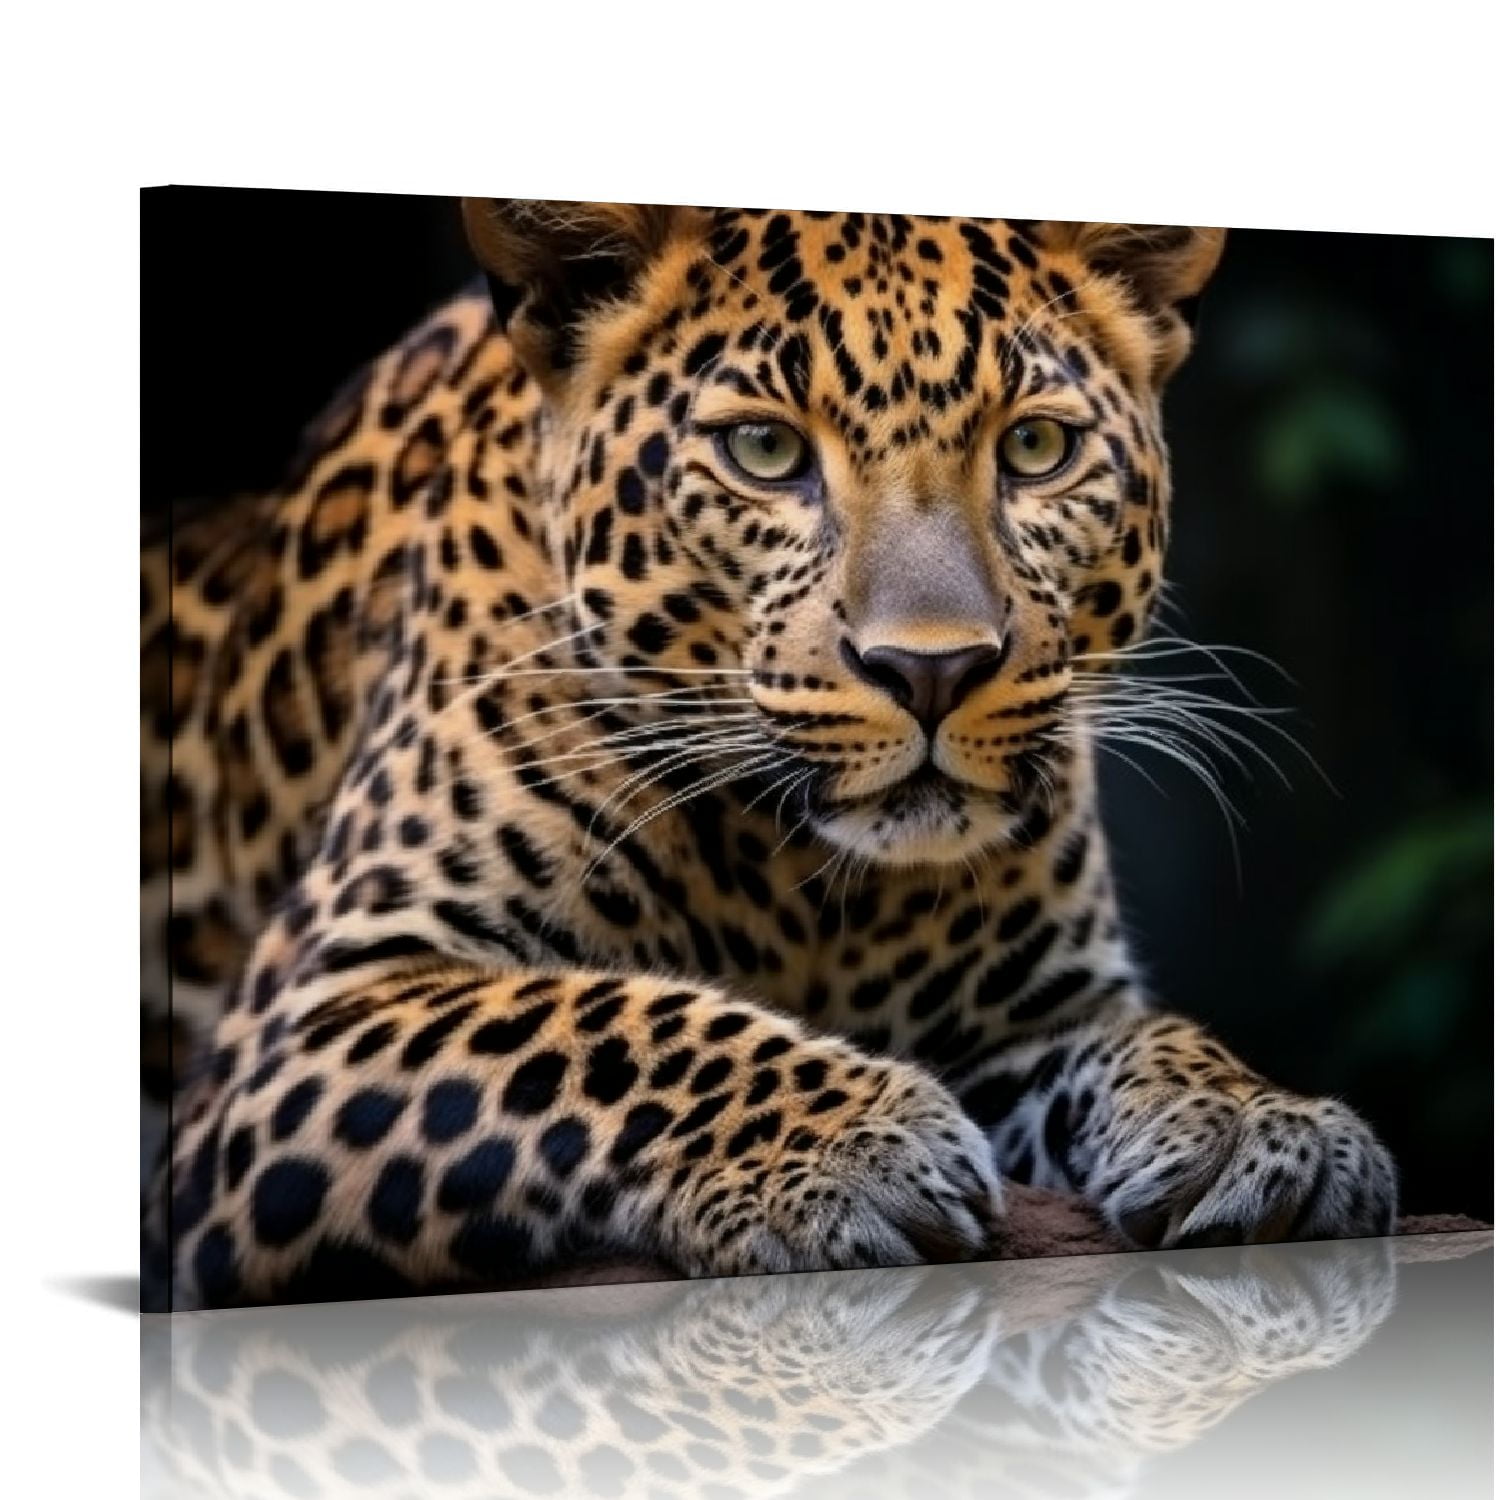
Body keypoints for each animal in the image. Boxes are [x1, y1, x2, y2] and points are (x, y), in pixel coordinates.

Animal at [141, 200, 1397, 1311]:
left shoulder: (1027, 1020)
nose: (933, 671)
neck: (807, 882)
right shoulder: (305, 1020)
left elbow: (1152, 1037)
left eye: (1037, 448)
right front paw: (855, 1146)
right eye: (764, 449)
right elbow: (595, 1024)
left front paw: (1257, 1123)